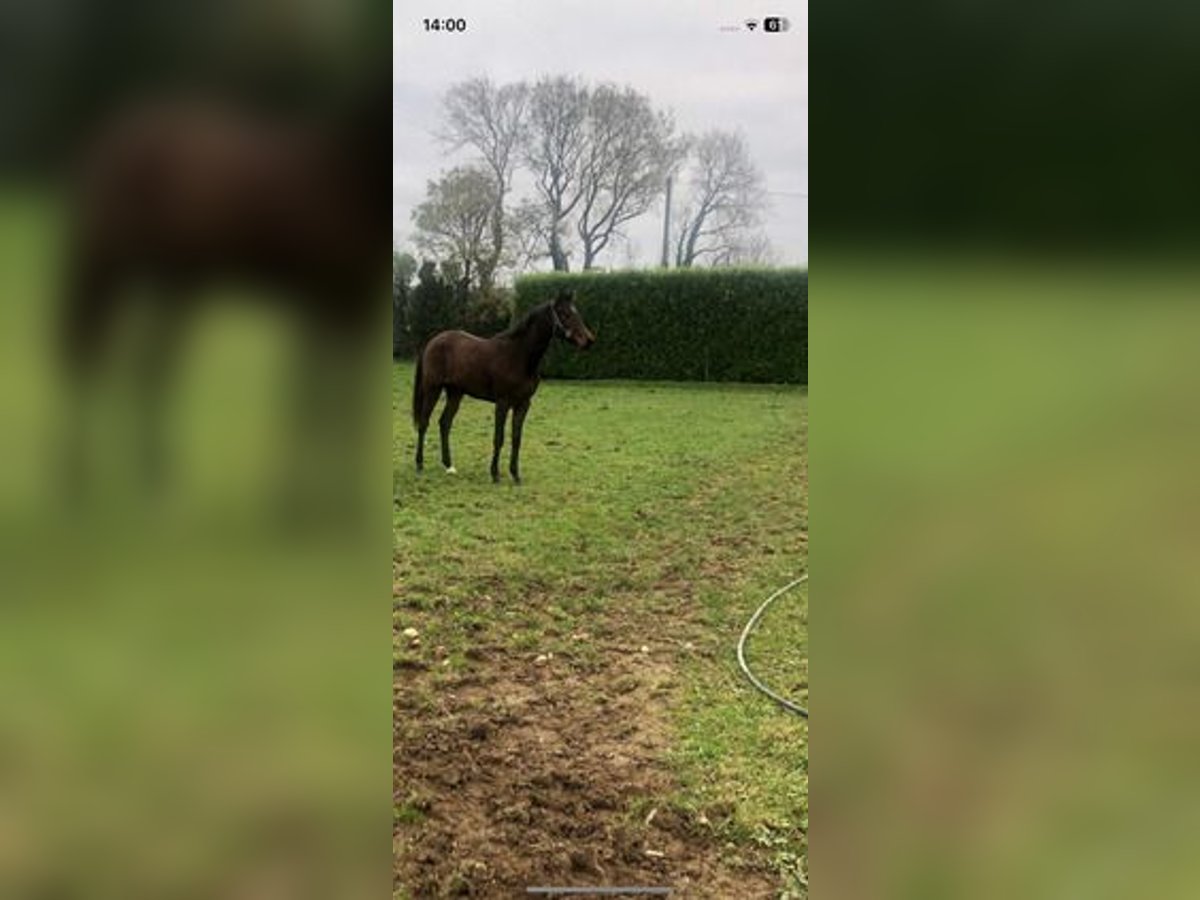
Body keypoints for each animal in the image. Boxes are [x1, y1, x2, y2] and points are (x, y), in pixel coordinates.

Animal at [411, 291, 595, 483]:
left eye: (576, 312)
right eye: (564, 314)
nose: (589, 340)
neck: (518, 356)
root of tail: (432, 342)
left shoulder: (523, 404)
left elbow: (516, 438)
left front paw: (515, 474)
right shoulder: (502, 403)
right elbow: (498, 438)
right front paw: (495, 474)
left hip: (456, 393)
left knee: (444, 423)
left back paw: (449, 465)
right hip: (433, 389)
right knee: (424, 423)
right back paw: (419, 464)